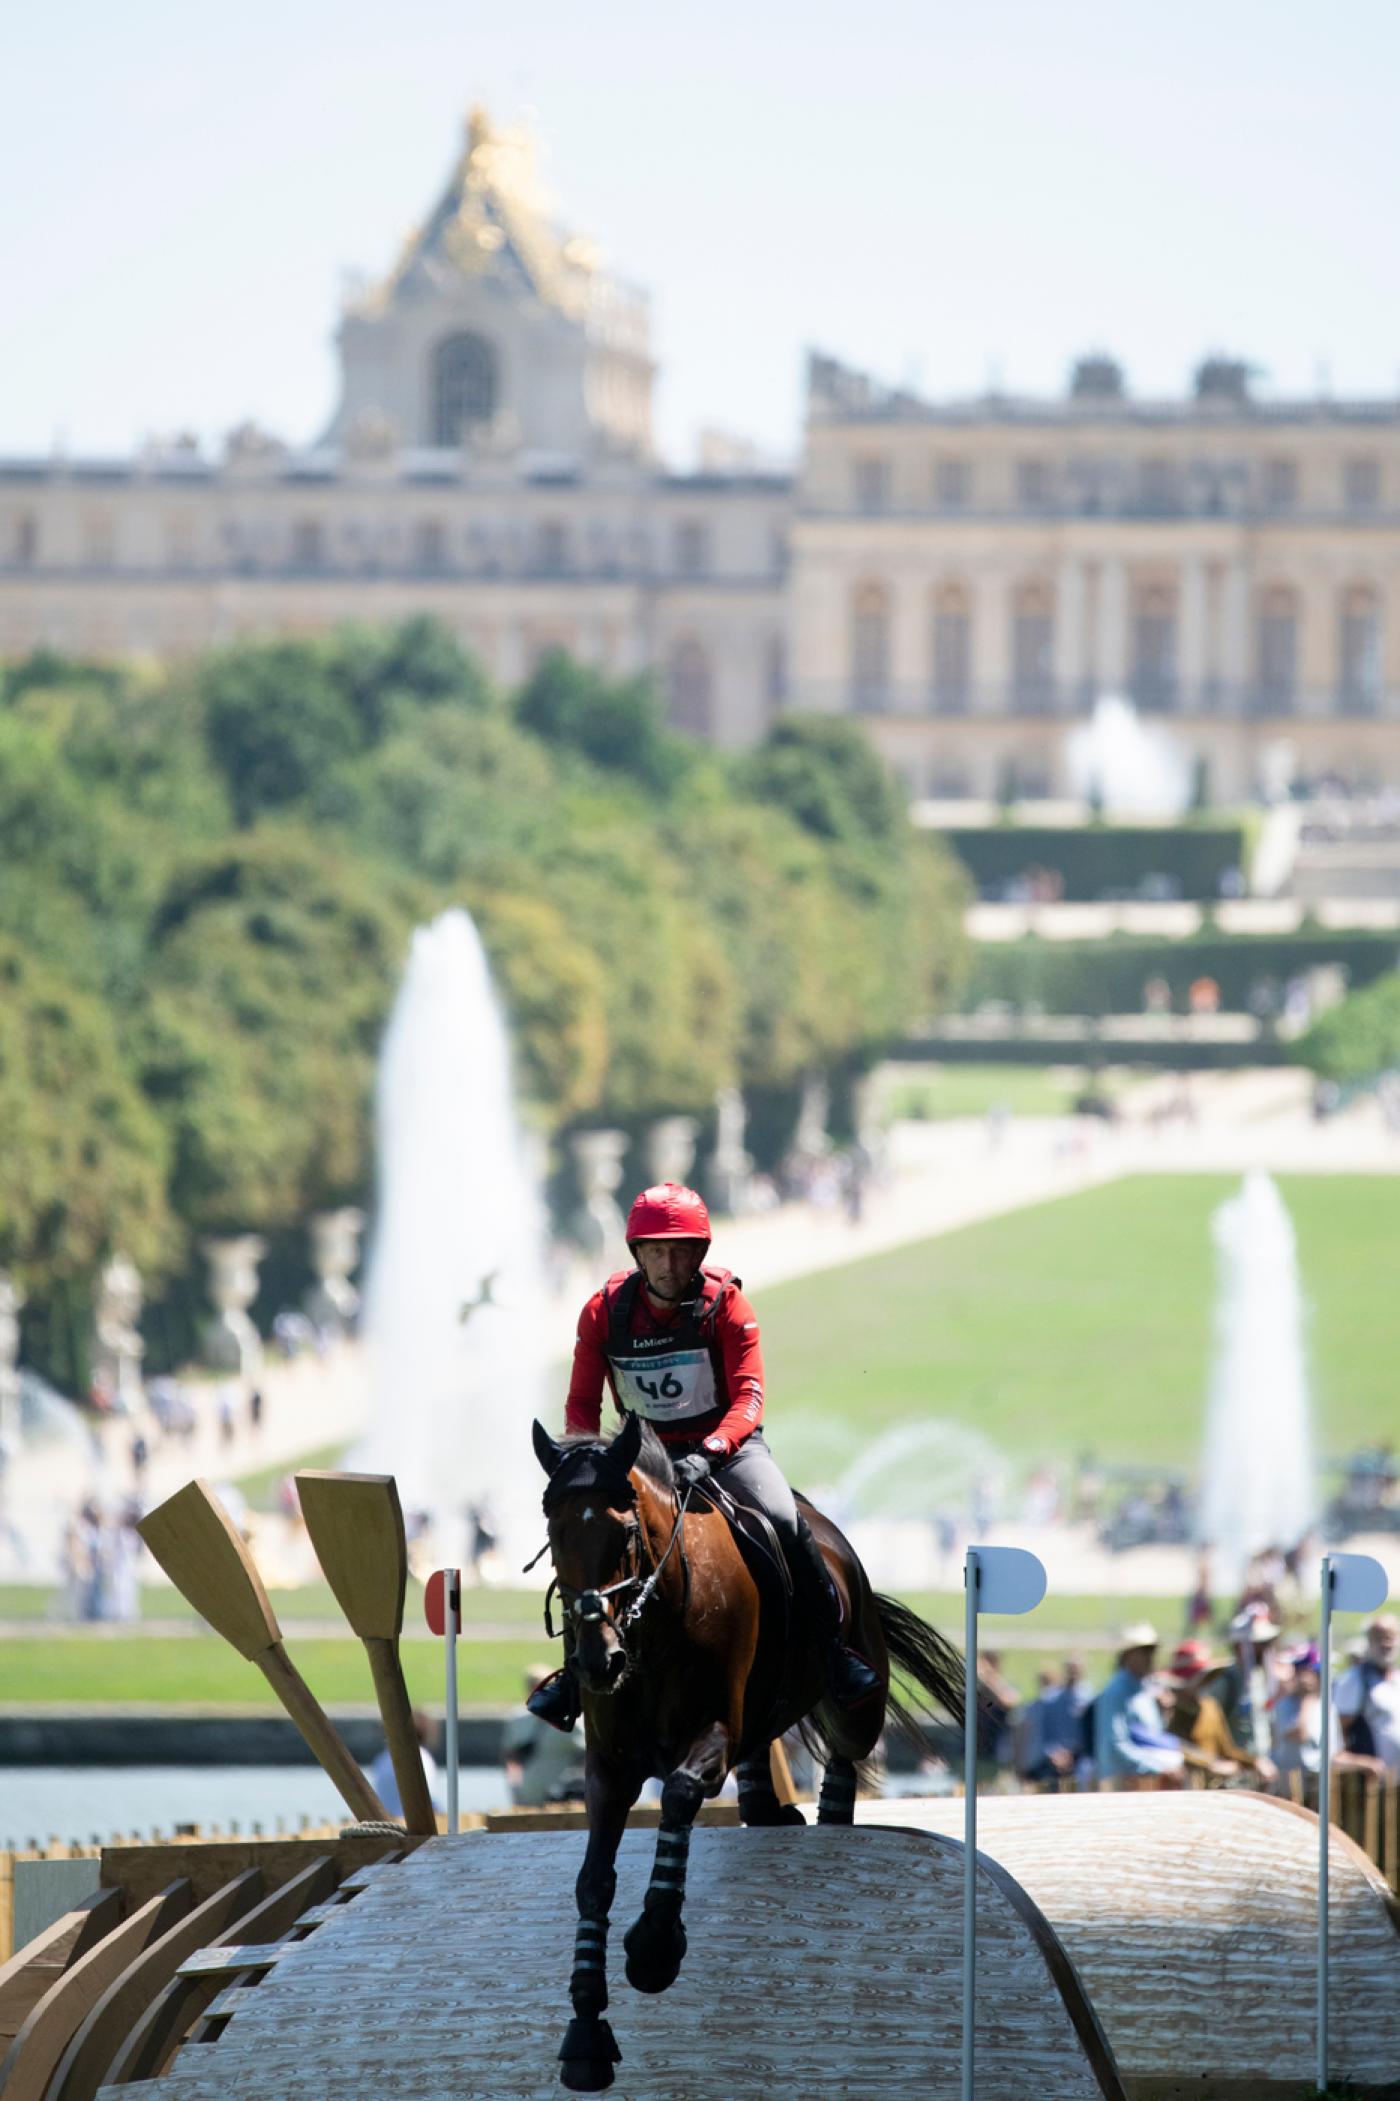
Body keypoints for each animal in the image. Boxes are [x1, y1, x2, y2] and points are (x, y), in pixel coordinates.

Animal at [525, 1411, 958, 2084]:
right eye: (555, 1531)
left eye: (625, 1534)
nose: (599, 1661)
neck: (655, 1623)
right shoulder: (610, 1767)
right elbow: (594, 1881)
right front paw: (586, 2032)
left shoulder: (711, 1736)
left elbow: (678, 1795)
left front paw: (654, 1947)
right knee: (767, 1751)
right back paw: (766, 1807)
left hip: (856, 1695)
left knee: (846, 1748)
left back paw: (831, 1812)